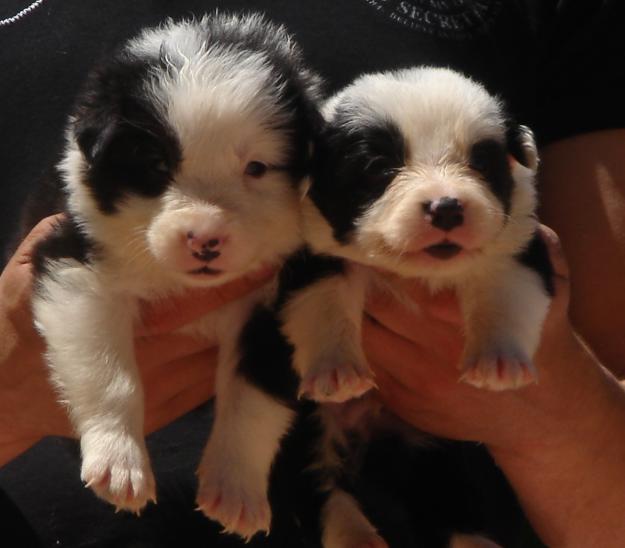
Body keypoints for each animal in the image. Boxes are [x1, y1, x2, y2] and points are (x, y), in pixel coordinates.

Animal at [29, 11, 320, 520]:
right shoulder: (75, 266)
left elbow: (253, 395)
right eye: (156, 163)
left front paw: (236, 486)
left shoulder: (277, 301)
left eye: (257, 167)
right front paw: (119, 462)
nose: (205, 238)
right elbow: (109, 373)